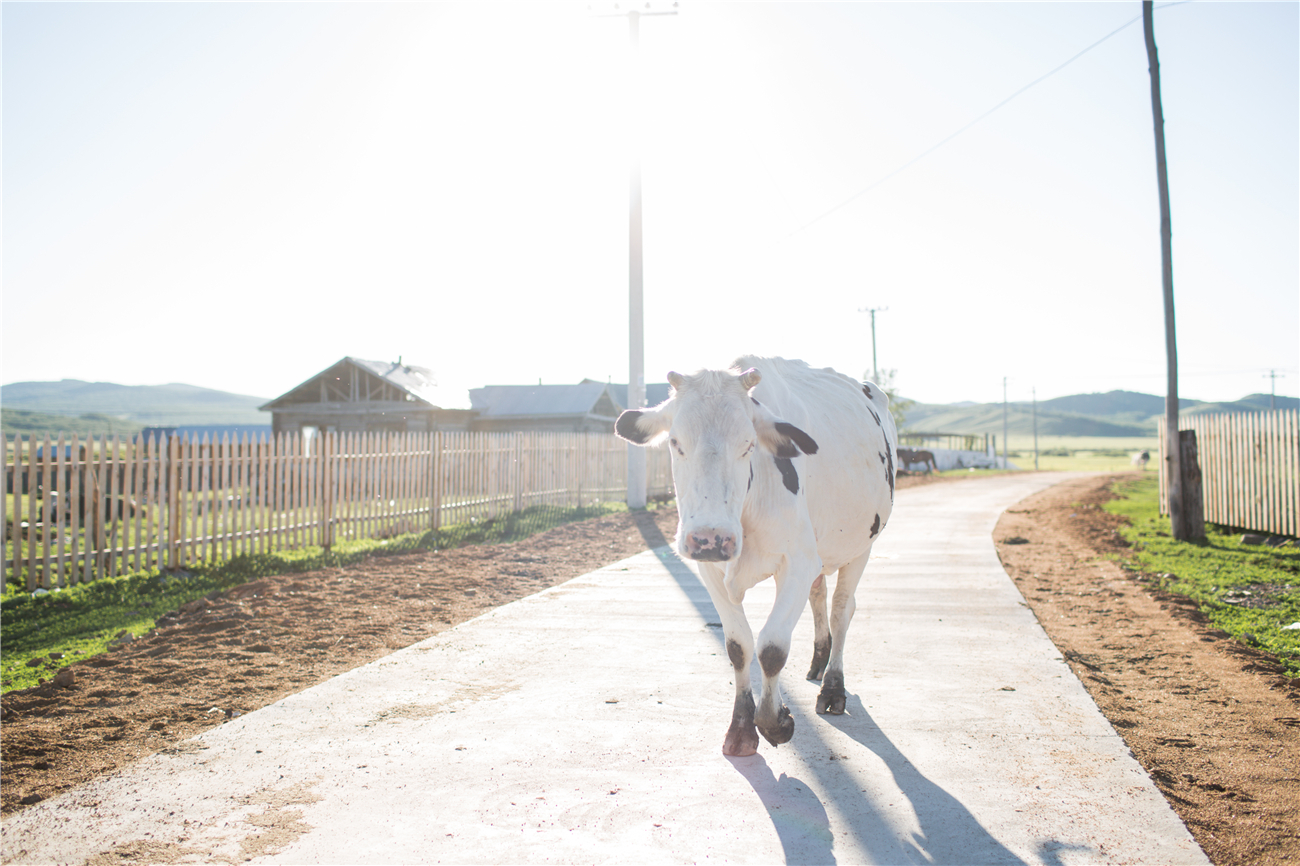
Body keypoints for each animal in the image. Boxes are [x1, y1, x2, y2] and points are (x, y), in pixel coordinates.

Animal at [611, 353, 894, 754]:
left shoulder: (797, 562)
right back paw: (818, 661)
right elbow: (738, 646)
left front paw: (774, 723)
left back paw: (833, 688)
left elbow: (772, 647)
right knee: (819, 596)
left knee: (842, 609)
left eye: (748, 445)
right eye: (676, 443)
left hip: (862, 546)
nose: (711, 539)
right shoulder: (711, 570)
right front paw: (742, 728)